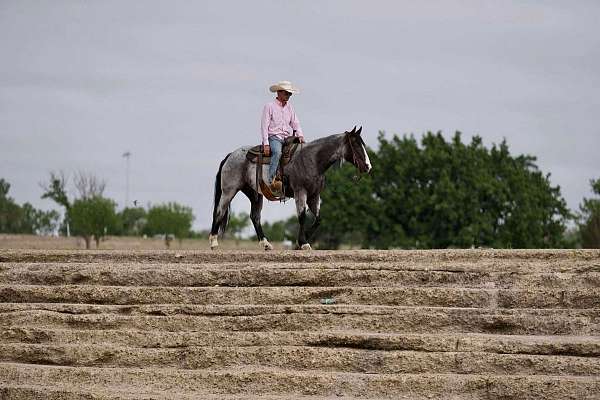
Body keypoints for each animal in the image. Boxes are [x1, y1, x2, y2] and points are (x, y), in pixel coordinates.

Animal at [210, 126, 370, 250]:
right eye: (355, 144)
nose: (368, 166)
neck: (312, 160)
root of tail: (230, 155)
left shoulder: (314, 195)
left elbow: (318, 219)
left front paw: (300, 242)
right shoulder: (301, 192)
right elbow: (302, 216)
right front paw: (303, 243)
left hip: (254, 194)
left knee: (255, 217)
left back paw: (266, 244)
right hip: (229, 191)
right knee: (219, 211)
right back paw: (213, 242)